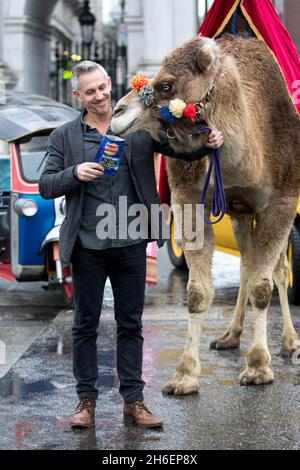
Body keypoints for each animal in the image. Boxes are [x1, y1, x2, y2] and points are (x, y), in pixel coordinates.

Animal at [110, 34, 300, 392]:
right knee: (246, 264)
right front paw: (184, 375)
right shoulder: (188, 200)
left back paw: (290, 342)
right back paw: (230, 336)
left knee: (278, 270)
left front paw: (258, 367)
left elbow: (263, 287)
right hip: (238, 212)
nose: (116, 112)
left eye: (166, 84)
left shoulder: (281, 203)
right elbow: (198, 292)